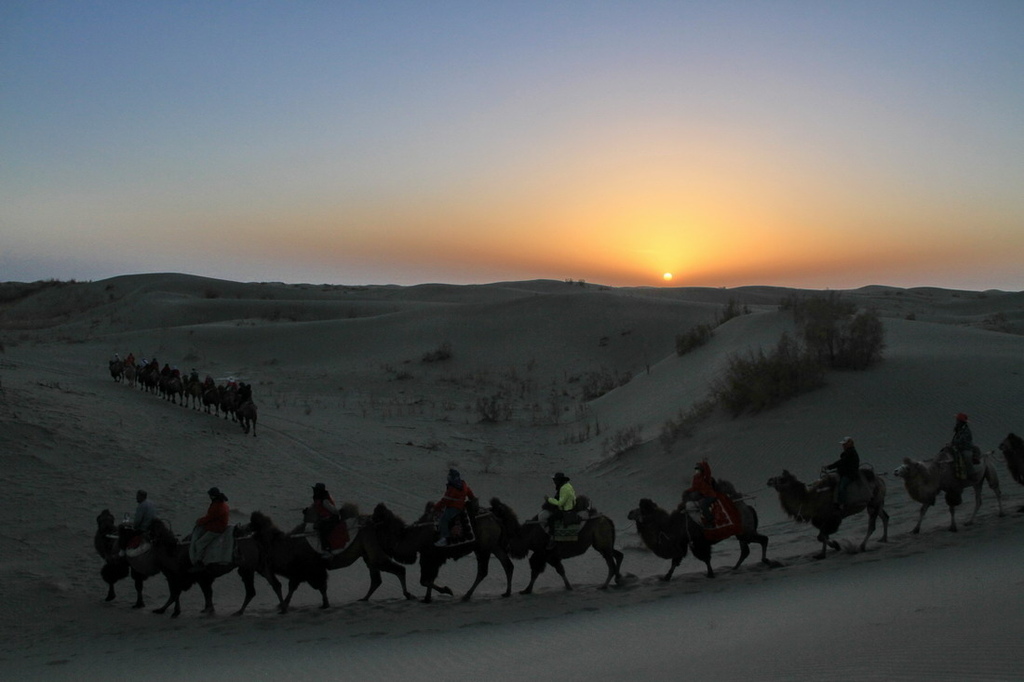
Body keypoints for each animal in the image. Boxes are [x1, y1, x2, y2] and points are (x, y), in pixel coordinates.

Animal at [370, 497, 516, 602]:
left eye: (377, 515)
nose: (369, 518)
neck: (415, 536)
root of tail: (495, 518)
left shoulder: (432, 557)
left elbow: (425, 580)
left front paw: (447, 590)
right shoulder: (429, 558)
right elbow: (428, 579)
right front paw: (427, 598)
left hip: (483, 548)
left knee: (483, 571)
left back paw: (467, 595)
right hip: (493, 545)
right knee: (507, 564)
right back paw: (507, 592)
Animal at [487, 493, 622, 593]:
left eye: (495, 510)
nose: (486, 512)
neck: (527, 535)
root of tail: (607, 519)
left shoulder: (543, 553)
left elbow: (536, 570)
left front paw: (526, 590)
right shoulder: (550, 555)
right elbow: (559, 570)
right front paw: (569, 587)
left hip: (602, 543)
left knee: (611, 564)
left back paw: (604, 585)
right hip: (604, 544)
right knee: (617, 555)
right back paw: (618, 579)